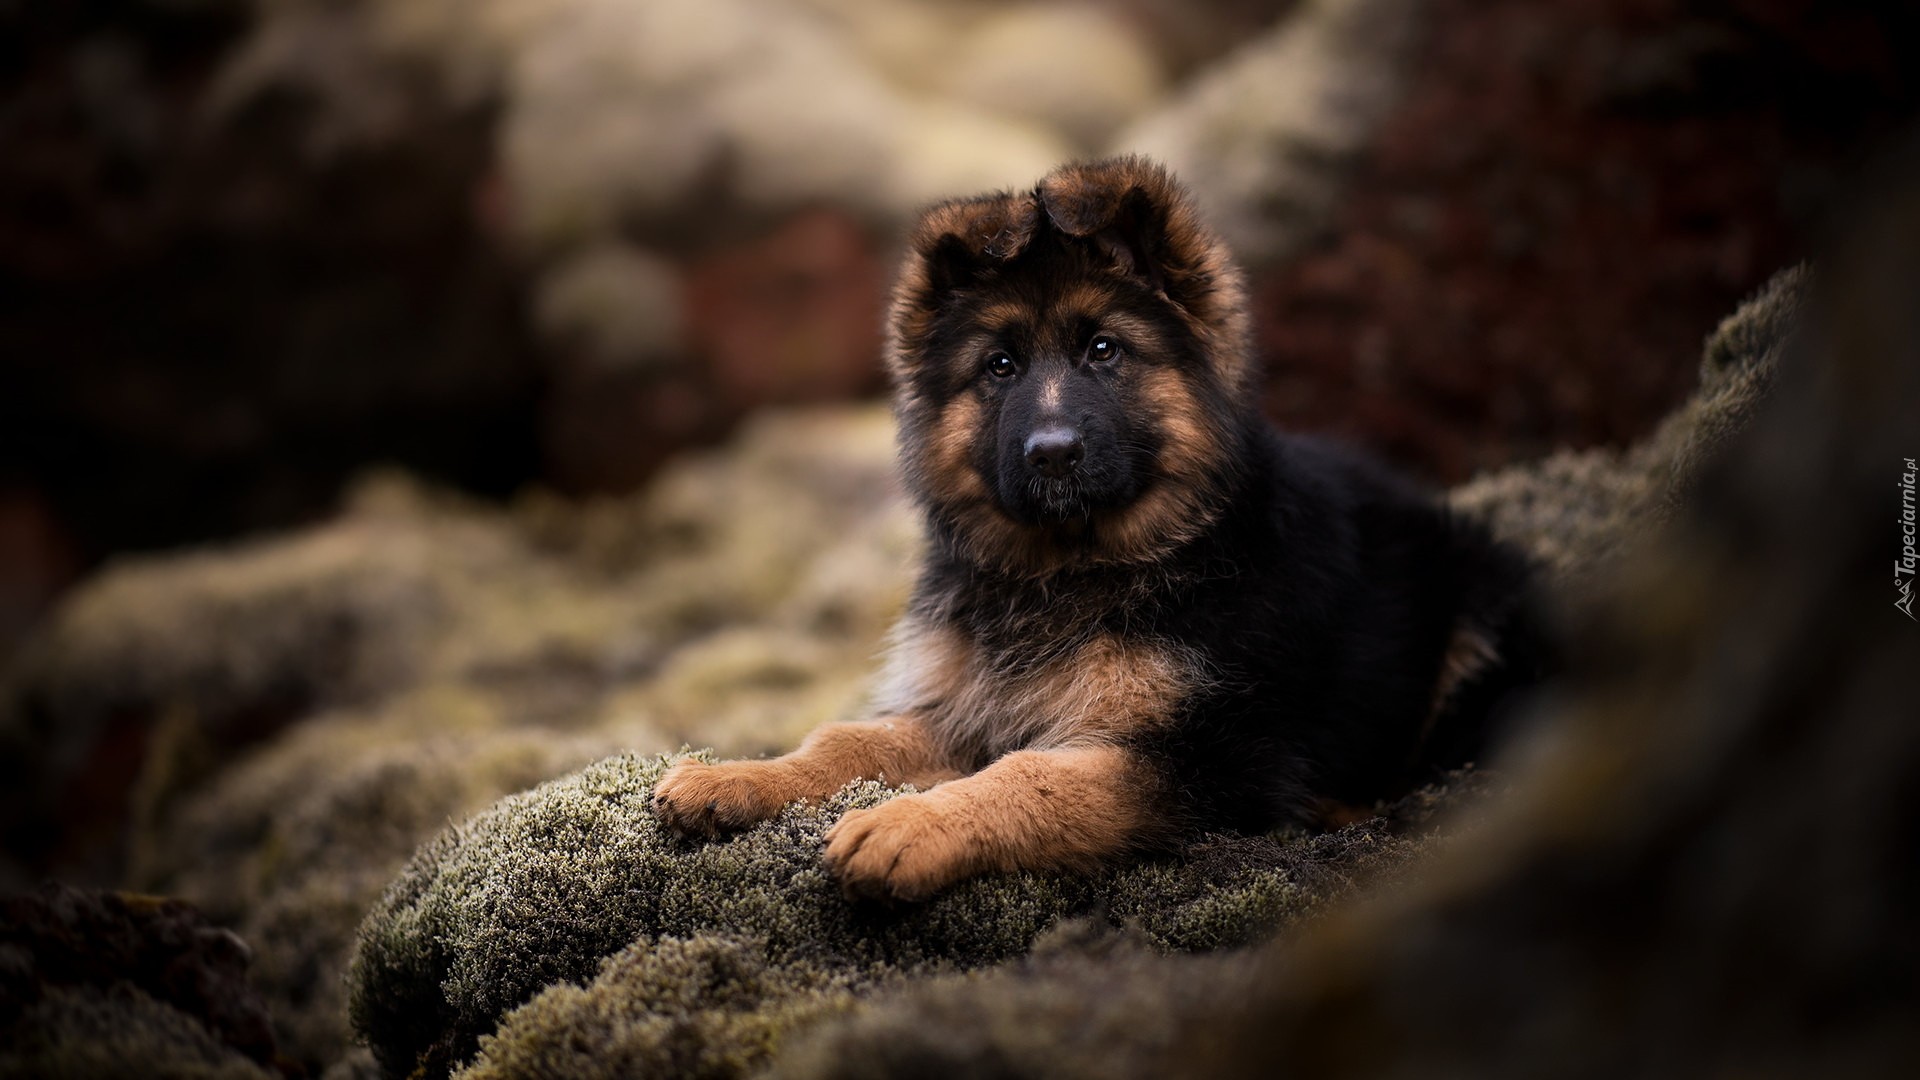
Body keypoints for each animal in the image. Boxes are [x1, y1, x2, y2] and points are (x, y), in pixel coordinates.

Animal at [652, 157, 1536, 899]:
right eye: (999, 366)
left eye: (1105, 350)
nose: (1051, 455)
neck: (1074, 570)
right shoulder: (966, 708)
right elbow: (848, 741)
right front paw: (737, 777)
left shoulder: (1199, 756)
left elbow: (1035, 776)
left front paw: (908, 824)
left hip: (1481, 613)